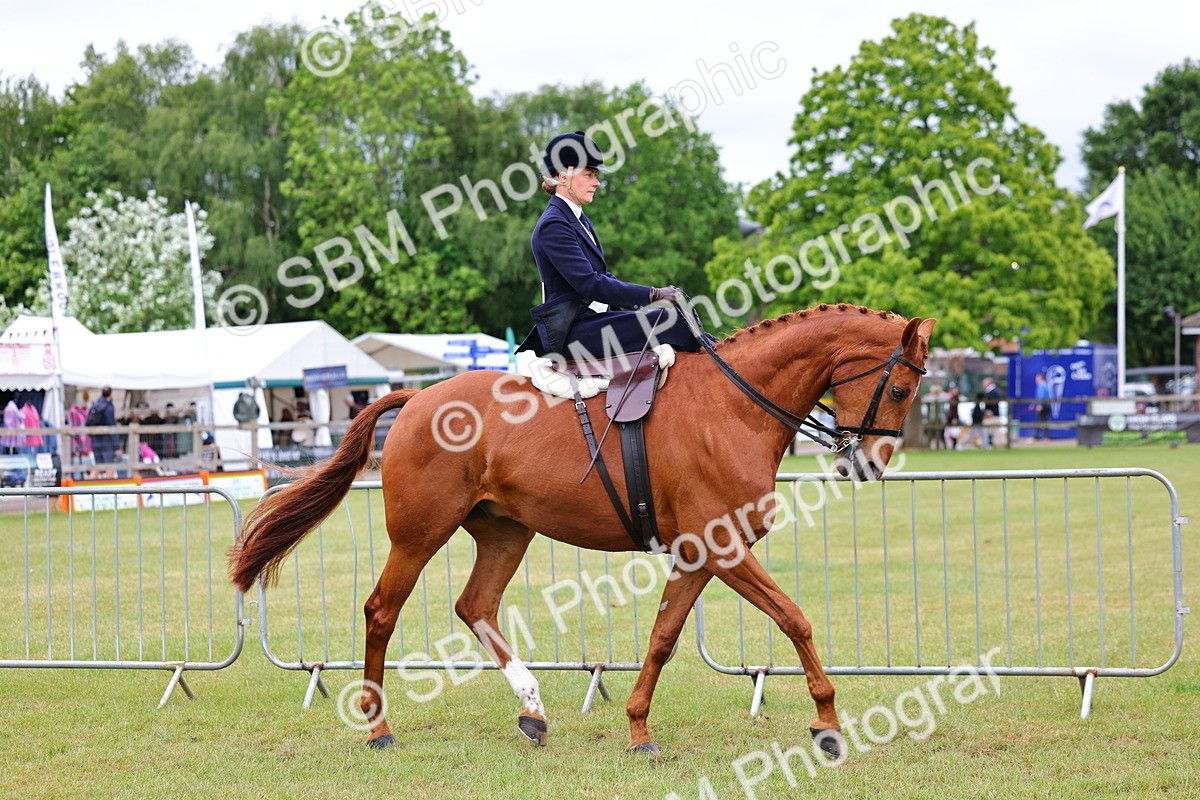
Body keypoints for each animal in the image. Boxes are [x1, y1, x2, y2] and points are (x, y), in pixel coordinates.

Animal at [229, 303, 935, 757]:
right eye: (901, 389)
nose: (868, 465)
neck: (734, 404)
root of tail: (419, 395)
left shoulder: (699, 556)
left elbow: (663, 639)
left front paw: (638, 729)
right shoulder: (724, 548)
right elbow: (795, 620)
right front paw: (828, 723)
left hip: (506, 533)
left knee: (476, 605)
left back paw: (532, 710)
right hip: (420, 535)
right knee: (381, 611)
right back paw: (378, 728)